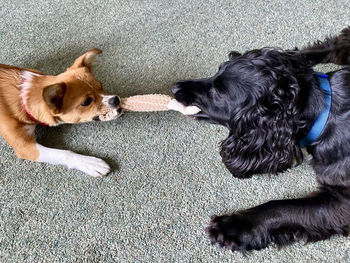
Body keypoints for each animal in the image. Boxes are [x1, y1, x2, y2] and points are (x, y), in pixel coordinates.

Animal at [0, 49, 121, 177]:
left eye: (101, 86)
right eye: (87, 101)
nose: (116, 99)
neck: (23, 97)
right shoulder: (25, 147)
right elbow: (63, 153)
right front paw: (90, 163)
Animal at [173, 27, 350, 254]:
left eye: (219, 93)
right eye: (216, 72)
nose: (175, 88)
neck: (325, 110)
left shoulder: (344, 198)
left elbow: (280, 206)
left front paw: (234, 226)